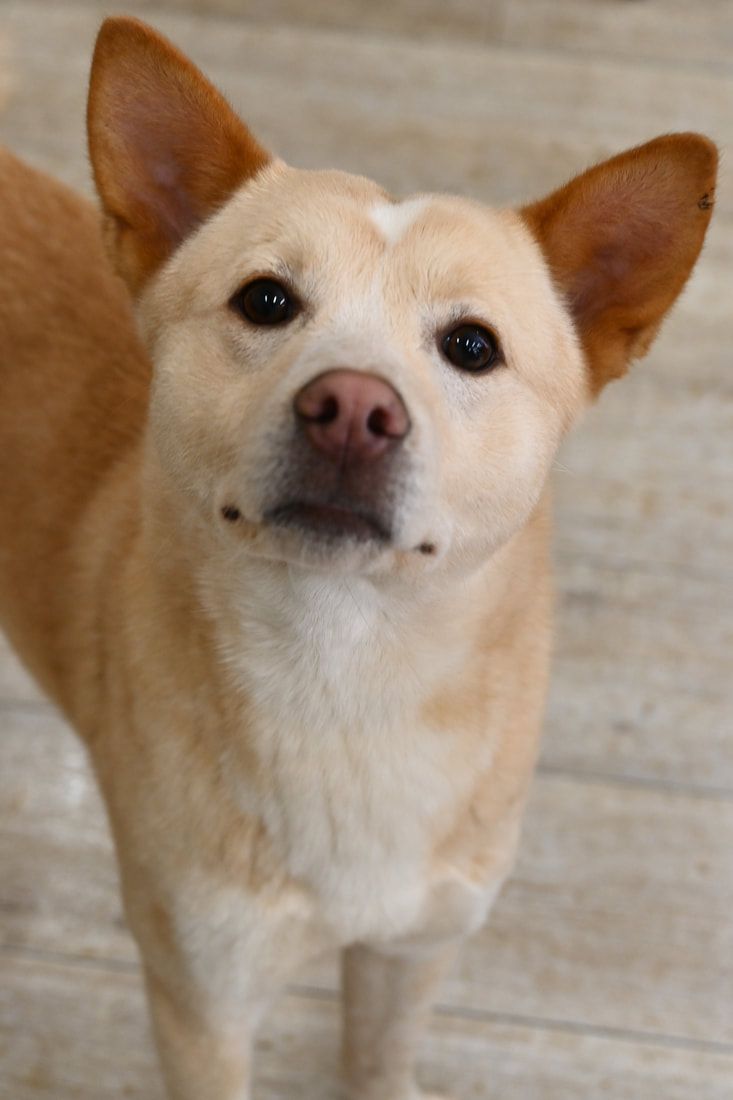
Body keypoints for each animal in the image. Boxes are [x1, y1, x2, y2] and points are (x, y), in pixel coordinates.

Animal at [0, 17, 713, 1100]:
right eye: (264, 300)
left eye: (471, 344)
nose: (351, 408)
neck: (345, 675)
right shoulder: (201, 996)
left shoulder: (413, 949)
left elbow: (378, 1058)